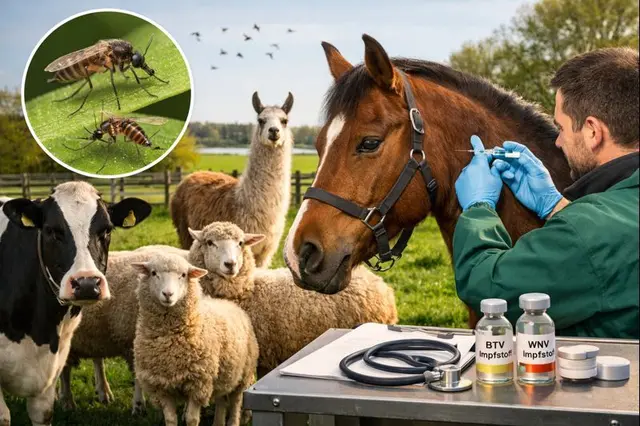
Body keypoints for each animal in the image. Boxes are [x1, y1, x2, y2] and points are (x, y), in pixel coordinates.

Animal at [132, 253, 258, 426]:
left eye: (183, 275)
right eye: (153, 273)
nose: (168, 294)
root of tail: (226, 302)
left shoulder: (199, 383)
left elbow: (192, 419)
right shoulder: (161, 386)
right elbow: (170, 419)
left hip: (243, 373)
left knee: (236, 402)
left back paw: (233, 421)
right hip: (224, 372)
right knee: (221, 399)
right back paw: (218, 422)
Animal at [170, 91, 294, 268]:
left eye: (284, 120)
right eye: (261, 120)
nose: (274, 131)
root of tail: (192, 175)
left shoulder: (265, 253)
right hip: (184, 231)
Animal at [187, 222, 398, 375]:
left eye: (240, 243)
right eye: (209, 242)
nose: (230, 264)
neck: (248, 290)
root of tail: (380, 283)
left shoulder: (265, 354)